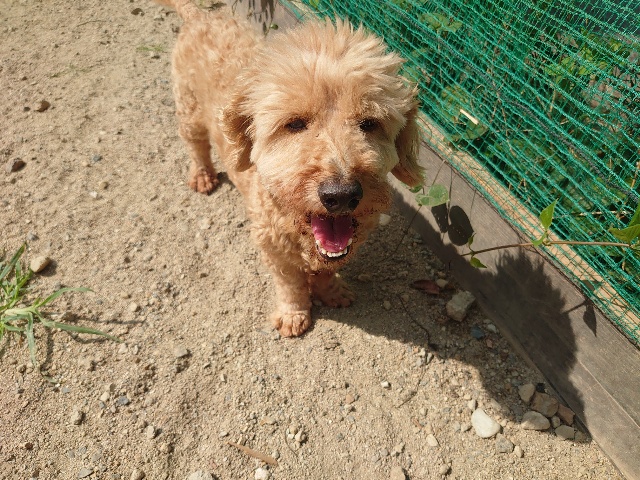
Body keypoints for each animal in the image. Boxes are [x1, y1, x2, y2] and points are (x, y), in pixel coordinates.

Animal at [156, 0, 423, 336]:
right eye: (294, 124)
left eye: (369, 123)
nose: (341, 195)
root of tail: (201, 14)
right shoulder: (272, 245)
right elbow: (290, 283)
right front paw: (293, 314)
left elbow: (326, 270)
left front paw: (332, 292)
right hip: (189, 107)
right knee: (196, 145)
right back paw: (202, 176)